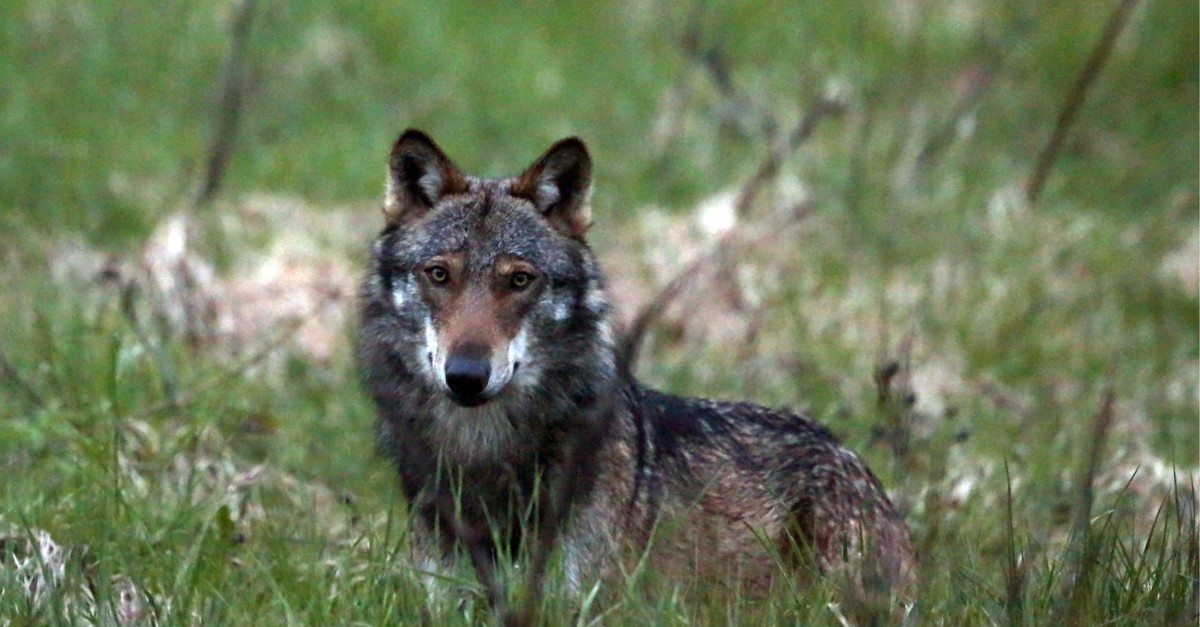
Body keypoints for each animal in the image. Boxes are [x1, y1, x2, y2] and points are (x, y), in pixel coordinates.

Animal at [359, 130, 914, 624]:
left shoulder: (583, 603)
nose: (467, 376)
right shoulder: (447, 596)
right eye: (439, 274)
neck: (483, 454)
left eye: (519, 280)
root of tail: (855, 461)